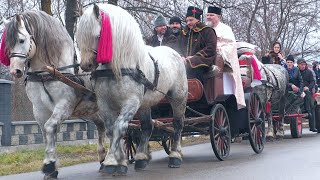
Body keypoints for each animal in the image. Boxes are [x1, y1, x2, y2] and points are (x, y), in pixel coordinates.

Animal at [1, 10, 106, 179]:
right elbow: (46, 133)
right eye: (7, 44)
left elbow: (50, 127)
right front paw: (52, 168)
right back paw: (103, 157)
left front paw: (49, 164)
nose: (14, 71)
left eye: (22, 40)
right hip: (90, 110)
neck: (48, 72)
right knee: (102, 125)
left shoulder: (64, 105)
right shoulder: (39, 109)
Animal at [76, 3, 189, 174]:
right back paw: (141, 158)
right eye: (79, 37)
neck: (118, 67)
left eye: (97, 35)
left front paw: (111, 161)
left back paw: (175, 155)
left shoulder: (131, 102)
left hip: (178, 97)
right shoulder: (105, 104)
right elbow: (112, 130)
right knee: (147, 126)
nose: (85, 65)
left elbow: (120, 127)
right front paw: (121, 161)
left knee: (177, 124)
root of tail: (174, 53)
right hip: (145, 104)